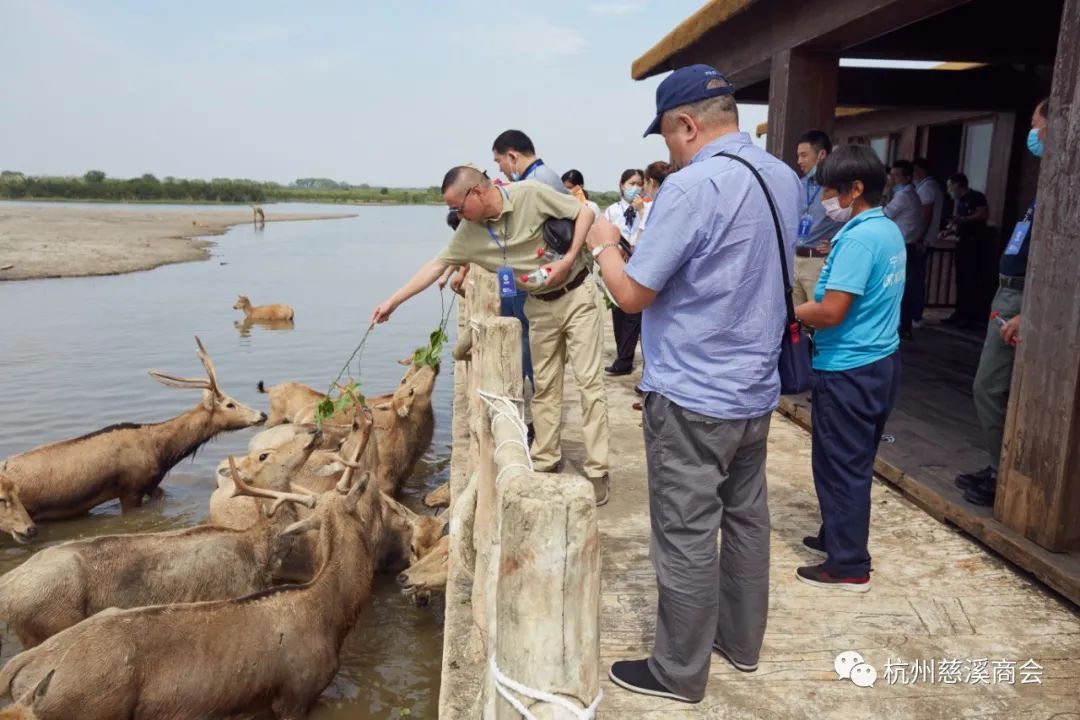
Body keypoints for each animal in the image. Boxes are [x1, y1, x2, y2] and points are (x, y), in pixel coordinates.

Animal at [0, 431, 318, 648]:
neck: (259, 551)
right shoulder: (234, 593)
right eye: (265, 454)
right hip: (49, 620)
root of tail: (9, 589)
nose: (313, 432)